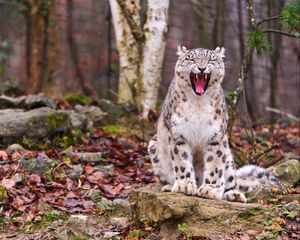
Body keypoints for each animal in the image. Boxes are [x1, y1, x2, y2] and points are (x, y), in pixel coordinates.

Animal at [148, 45, 282, 202]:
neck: (198, 103)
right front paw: (185, 186)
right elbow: (182, 162)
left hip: (228, 158)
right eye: (191, 59)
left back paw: (234, 194)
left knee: (231, 180)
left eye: (211, 59)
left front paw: (210, 190)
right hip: (153, 146)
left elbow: (215, 165)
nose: (202, 68)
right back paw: (170, 186)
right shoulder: (178, 134)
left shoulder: (216, 136)